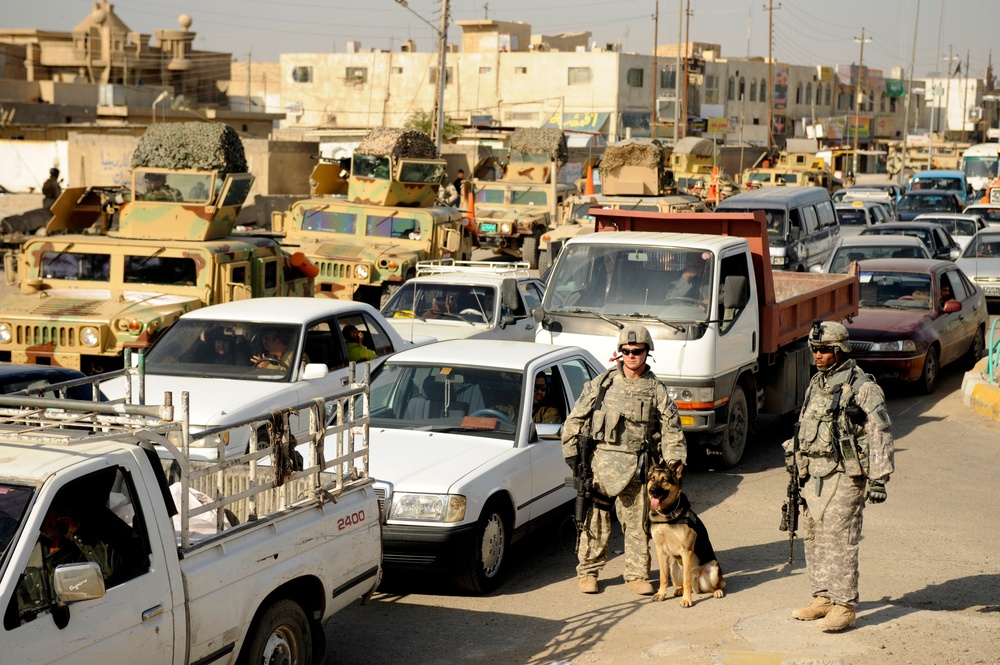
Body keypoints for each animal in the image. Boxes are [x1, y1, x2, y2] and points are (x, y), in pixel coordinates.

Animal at [644, 460, 724, 604]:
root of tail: (696, 583)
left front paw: (686, 600)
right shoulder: (661, 550)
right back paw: (679, 590)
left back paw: (717, 591)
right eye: (652, 479)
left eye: (664, 480)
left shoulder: (686, 551)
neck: (667, 514)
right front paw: (661, 594)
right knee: (681, 583)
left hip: (713, 568)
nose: (652, 491)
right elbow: (663, 577)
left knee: (716, 584)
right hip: (673, 566)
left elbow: (686, 580)